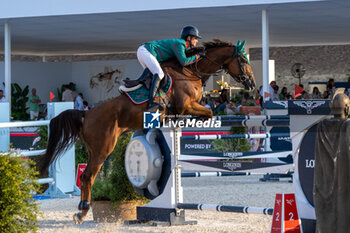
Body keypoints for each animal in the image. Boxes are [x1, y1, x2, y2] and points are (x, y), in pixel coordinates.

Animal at [40, 40, 254, 224]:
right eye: (243, 60)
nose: (251, 83)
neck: (189, 72)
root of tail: (87, 113)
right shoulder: (186, 106)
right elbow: (208, 112)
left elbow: (206, 112)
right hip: (103, 148)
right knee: (87, 177)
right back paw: (82, 212)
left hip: (94, 149)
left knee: (87, 177)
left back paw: (81, 212)